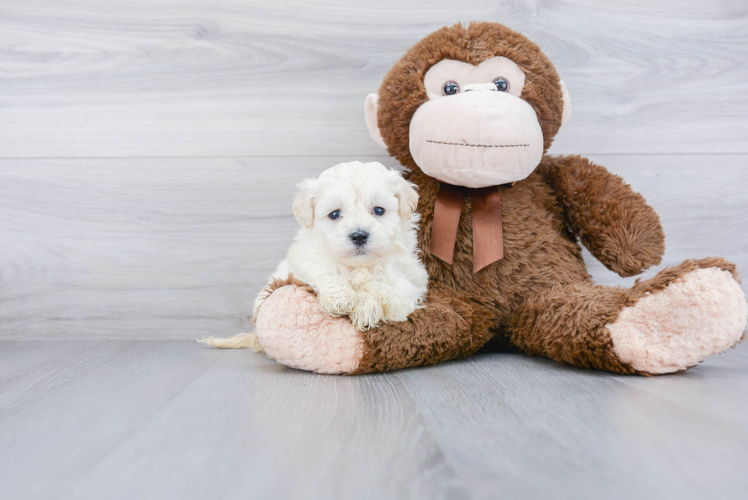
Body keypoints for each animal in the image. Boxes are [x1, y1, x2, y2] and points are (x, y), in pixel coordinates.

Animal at [254, 162, 426, 330]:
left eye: (378, 210)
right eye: (334, 214)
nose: (359, 236)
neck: (358, 267)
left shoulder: (408, 281)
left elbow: (382, 286)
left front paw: (366, 307)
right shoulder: (303, 264)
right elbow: (324, 272)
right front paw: (339, 297)